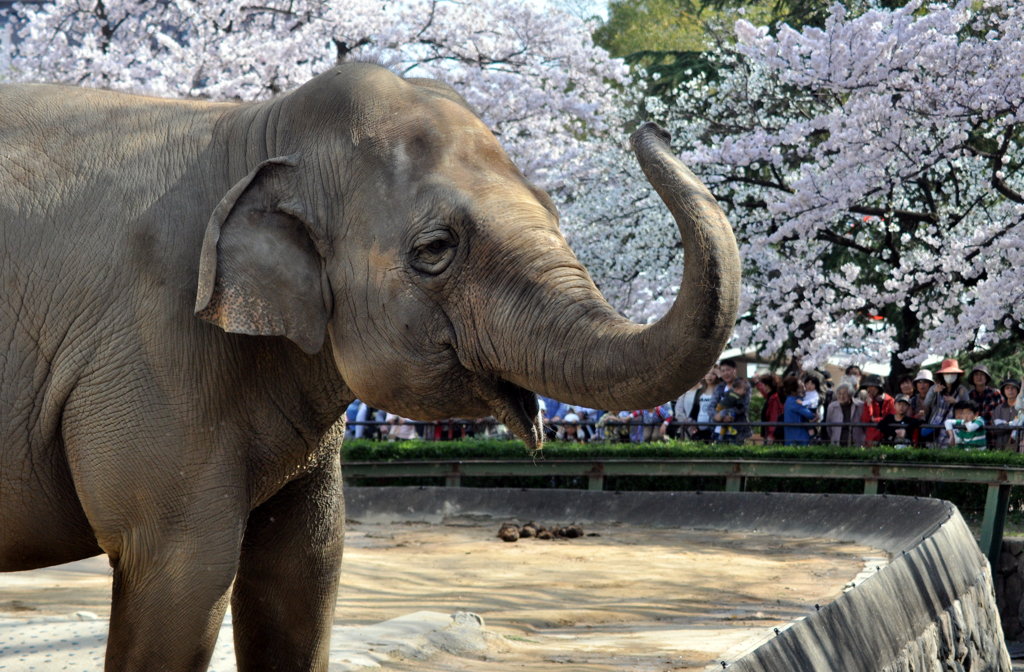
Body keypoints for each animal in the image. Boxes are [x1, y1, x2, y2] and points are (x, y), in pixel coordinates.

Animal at [0, 60, 737, 667]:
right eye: (435, 248)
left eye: (555, 210)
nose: (652, 125)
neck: (253, 127)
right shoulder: (154, 344)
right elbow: (182, 568)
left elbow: (304, 567)